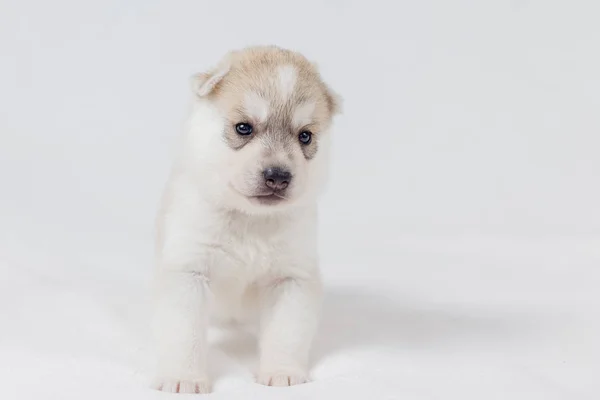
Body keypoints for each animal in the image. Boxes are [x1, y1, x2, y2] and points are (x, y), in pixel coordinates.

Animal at [151, 45, 342, 392]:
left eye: (305, 136)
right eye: (244, 128)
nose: (278, 176)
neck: (249, 219)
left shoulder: (291, 278)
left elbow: (287, 333)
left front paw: (283, 373)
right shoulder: (187, 271)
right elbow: (185, 334)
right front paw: (184, 378)